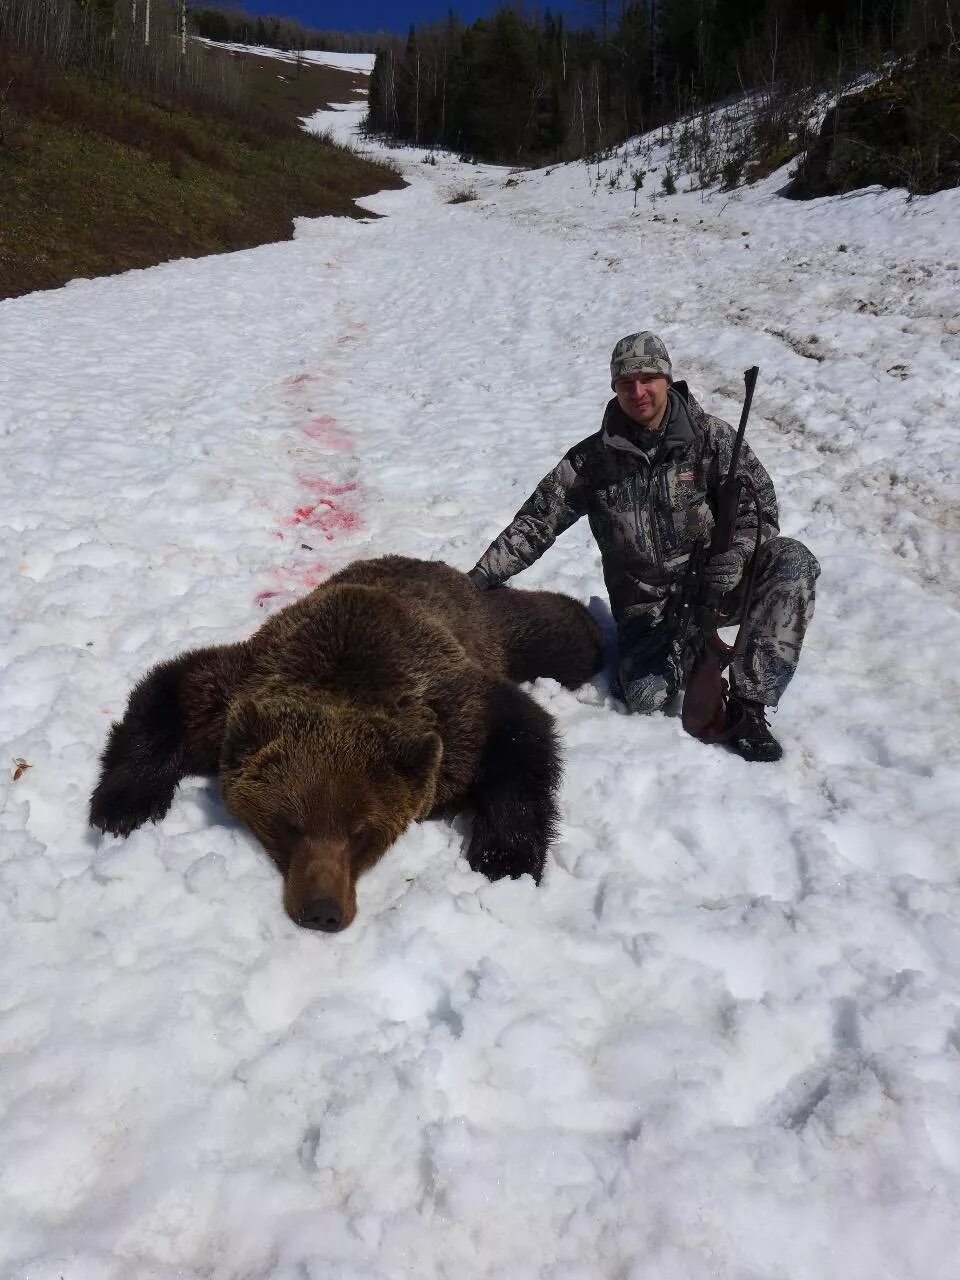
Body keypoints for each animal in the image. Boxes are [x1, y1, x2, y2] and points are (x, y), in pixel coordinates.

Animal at [88, 558, 601, 931]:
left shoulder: (455, 710)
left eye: (361, 832)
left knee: (563, 637)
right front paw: (123, 806)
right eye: (289, 824)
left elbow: (519, 738)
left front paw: (503, 860)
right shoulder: (241, 687)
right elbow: (174, 691)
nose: (322, 911)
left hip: (493, 629)